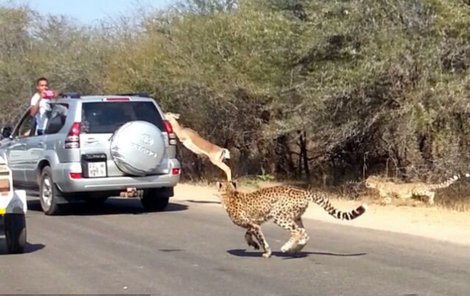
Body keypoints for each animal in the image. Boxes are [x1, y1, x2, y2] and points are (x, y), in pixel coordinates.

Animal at [217, 180, 368, 256]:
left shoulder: (254, 224)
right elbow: (247, 235)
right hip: (296, 217)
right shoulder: (255, 223)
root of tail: (303, 190)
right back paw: (295, 250)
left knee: (297, 232)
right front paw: (253, 244)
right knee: (305, 234)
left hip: (279, 215)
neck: (229, 193)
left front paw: (266, 252)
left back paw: (286, 248)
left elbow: (261, 239)